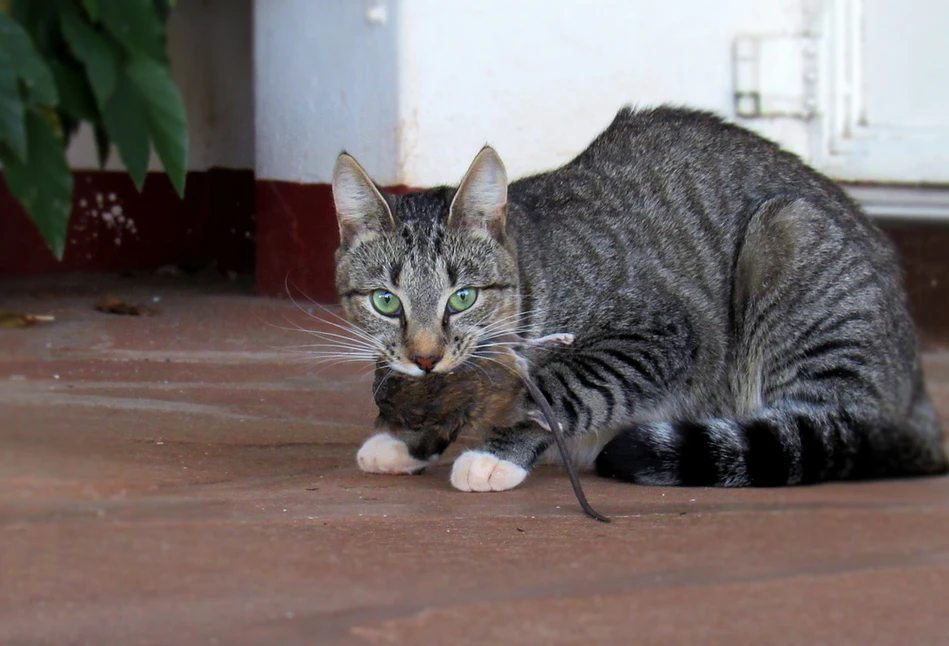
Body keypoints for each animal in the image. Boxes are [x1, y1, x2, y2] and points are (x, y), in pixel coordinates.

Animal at [330, 106, 944, 494]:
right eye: (386, 302)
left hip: (789, 240)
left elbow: (560, 386)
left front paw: (494, 452)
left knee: (833, 426)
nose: (425, 356)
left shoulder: (660, 333)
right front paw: (408, 439)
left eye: (462, 298)